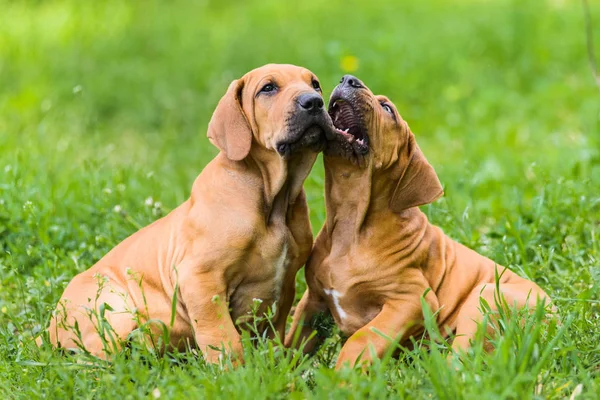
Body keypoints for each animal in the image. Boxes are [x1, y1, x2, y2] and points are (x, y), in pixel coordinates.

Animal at [39, 64, 336, 364]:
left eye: (315, 84)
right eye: (268, 88)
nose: (314, 102)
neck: (273, 200)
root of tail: (48, 330)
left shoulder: (285, 285)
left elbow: (274, 334)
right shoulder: (199, 277)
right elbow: (222, 336)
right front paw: (234, 370)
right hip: (113, 305)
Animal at [286, 74, 552, 368]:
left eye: (387, 108)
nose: (349, 78)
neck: (351, 223)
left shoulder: (412, 300)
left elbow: (362, 338)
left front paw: (341, 375)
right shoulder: (314, 299)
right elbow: (293, 340)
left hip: (484, 297)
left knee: (459, 363)